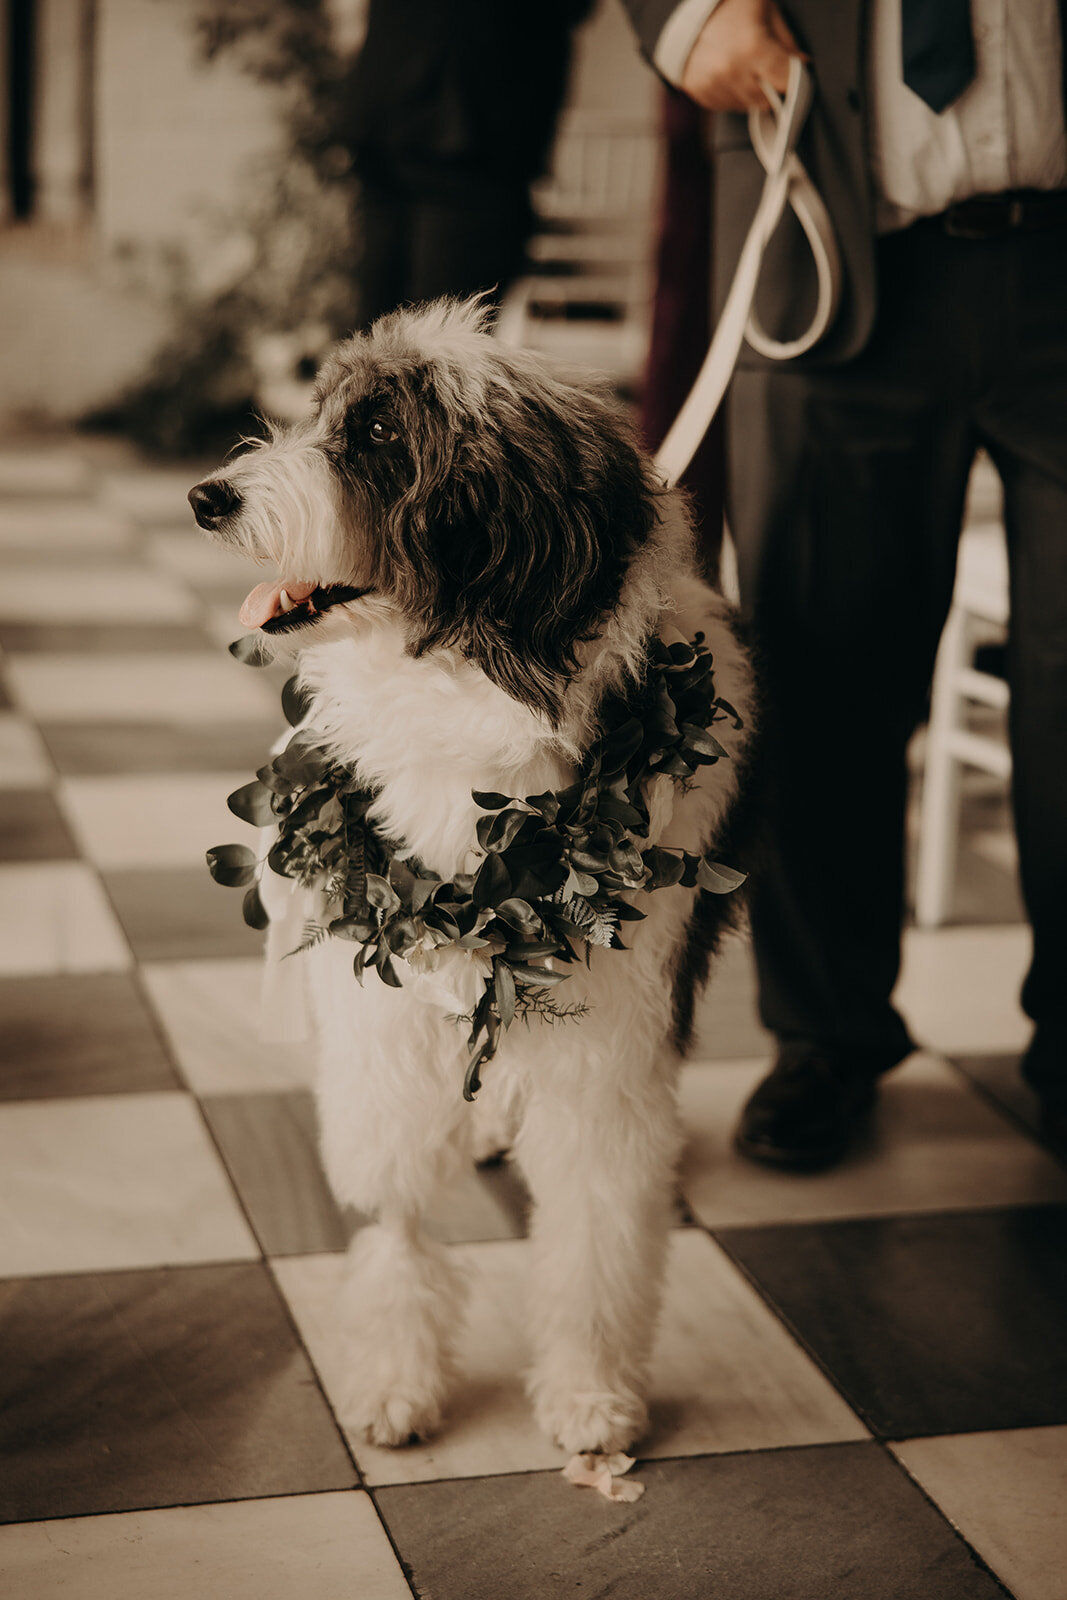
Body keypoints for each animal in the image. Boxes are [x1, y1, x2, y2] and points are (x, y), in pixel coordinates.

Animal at [187, 300, 755, 1465]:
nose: (207, 497)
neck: (460, 697)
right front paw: (395, 1377)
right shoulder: (381, 1008)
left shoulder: (611, 1048)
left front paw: (589, 1396)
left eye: (379, 438)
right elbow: (394, 1204)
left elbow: (592, 1228)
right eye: (321, 409)